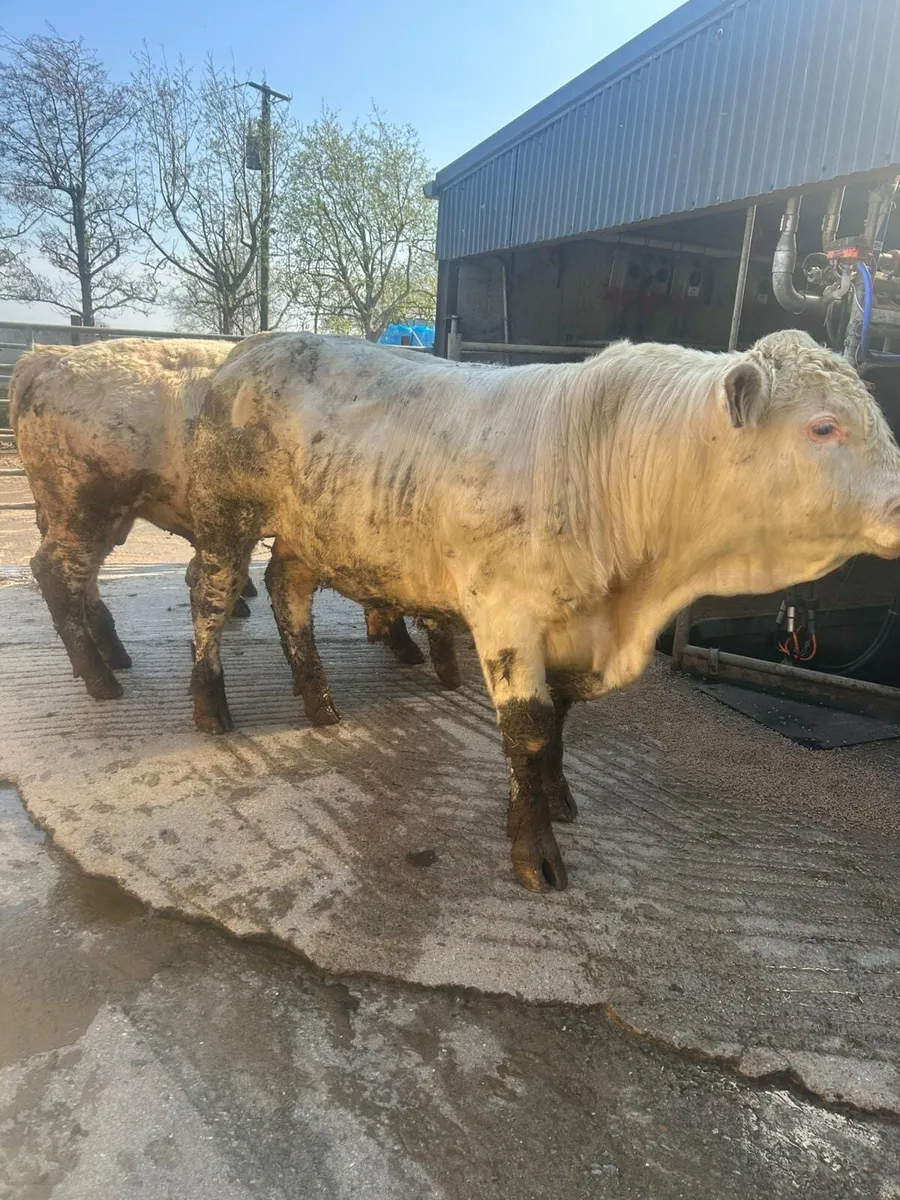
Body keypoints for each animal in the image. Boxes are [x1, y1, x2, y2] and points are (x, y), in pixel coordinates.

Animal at [9, 338, 458, 701]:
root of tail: (48, 358)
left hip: (97, 519)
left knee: (84, 578)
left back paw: (116, 655)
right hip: (87, 505)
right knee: (54, 572)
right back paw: (103, 681)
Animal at [185, 330, 900, 891]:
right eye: (824, 426)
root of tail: (257, 346)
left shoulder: (574, 630)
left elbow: (558, 720)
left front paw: (556, 799)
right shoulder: (506, 615)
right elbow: (528, 731)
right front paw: (535, 851)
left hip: (309, 533)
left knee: (286, 589)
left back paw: (318, 700)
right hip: (225, 515)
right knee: (210, 594)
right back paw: (211, 707)